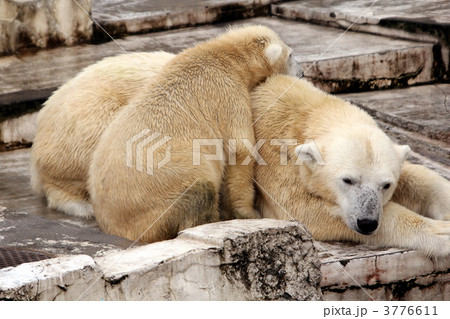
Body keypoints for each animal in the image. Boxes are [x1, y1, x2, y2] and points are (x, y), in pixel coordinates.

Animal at [89, 25, 298, 242]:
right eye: (291, 55)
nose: (299, 68)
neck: (224, 56)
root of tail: (112, 223)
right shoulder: (228, 94)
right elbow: (240, 151)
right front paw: (248, 214)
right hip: (161, 197)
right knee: (199, 192)